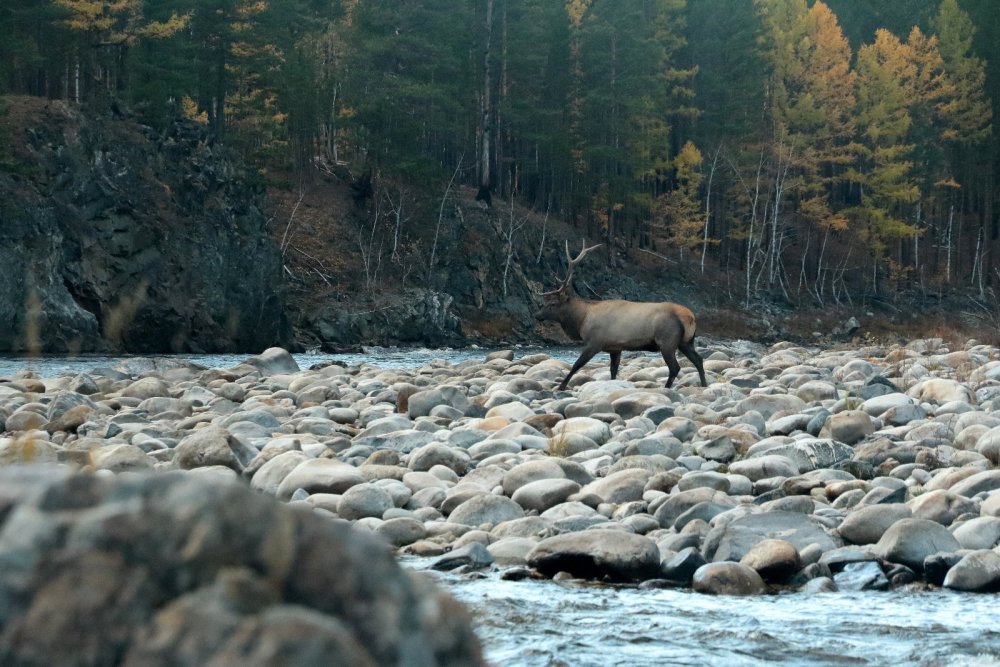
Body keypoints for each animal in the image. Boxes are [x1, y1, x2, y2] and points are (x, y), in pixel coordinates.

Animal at [536, 243, 708, 392]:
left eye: (552, 304)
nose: (538, 315)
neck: (582, 319)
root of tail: (689, 316)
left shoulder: (595, 342)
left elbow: (577, 365)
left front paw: (561, 386)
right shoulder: (615, 347)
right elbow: (613, 371)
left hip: (667, 341)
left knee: (675, 367)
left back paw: (667, 387)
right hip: (686, 342)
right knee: (698, 360)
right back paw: (704, 384)